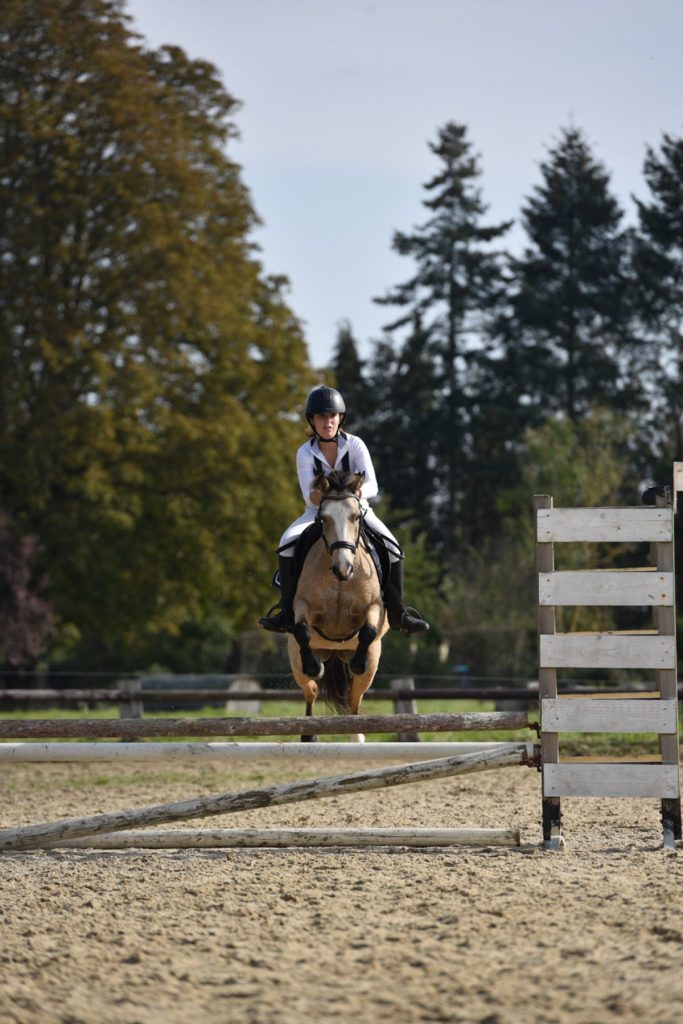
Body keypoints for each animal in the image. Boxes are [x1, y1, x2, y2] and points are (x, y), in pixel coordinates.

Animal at [286, 468, 387, 741]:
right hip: (296, 661)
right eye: (323, 518)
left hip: (371, 666)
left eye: (356, 517)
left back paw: (357, 737)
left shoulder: (375, 607)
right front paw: (314, 667)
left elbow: (368, 630)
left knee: (354, 701)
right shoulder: (302, 605)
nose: (343, 568)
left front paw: (358, 663)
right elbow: (302, 629)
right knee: (310, 692)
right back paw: (309, 734)